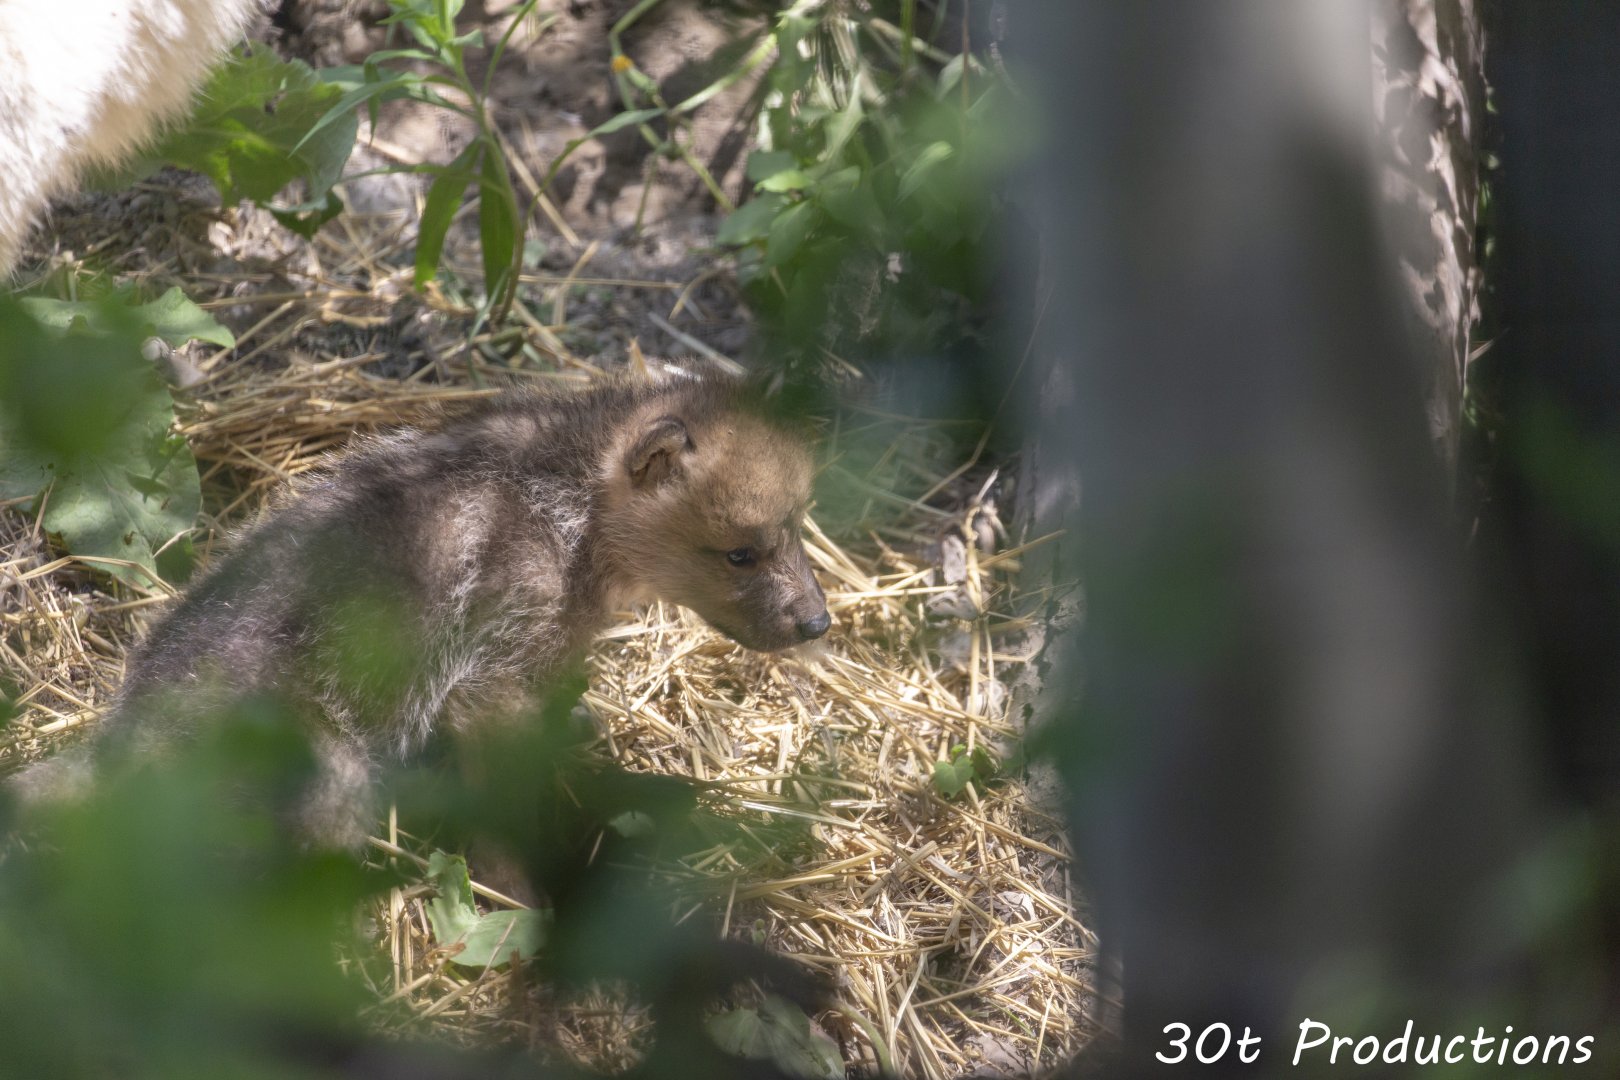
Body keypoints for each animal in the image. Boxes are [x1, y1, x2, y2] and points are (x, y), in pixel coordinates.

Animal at [16, 370, 830, 845]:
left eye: (798, 523)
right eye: (740, 553)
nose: (819, 623)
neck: (571, 513)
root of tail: (125, 744)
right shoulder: (486, 681)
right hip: (334, 779)